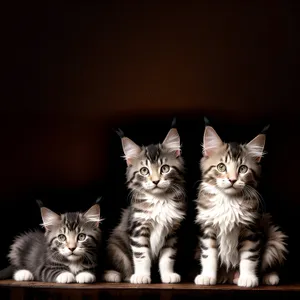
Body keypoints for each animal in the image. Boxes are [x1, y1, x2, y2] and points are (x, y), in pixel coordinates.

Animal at [104, 124, 186, 284]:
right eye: (144, 171)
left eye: (165, 168)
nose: (155, 181)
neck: (160, 200)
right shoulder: (138, 227)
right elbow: (142, 256)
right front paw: (142, 276)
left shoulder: (172, 232)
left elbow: (167, 257)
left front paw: (168, 275)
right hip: (115, 247)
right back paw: (116, 275)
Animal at [195, 123, 288, 288]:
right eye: (221, 167)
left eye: (243, 169)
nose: (232, 180)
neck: (228, 200)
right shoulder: (208, 228)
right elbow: (208, 255)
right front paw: (207, 277)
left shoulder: (251, 230)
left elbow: (249, 257)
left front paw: (248, 278)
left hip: (275, 239)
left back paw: (268, 277)